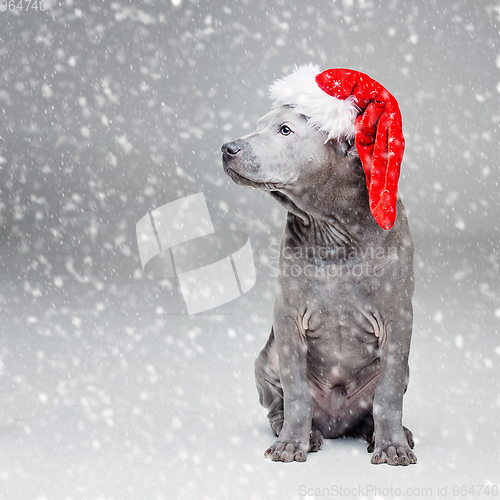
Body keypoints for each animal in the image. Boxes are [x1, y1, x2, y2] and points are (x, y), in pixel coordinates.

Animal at [221, 68, 416, 466]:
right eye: (258, 126)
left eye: (284, 130)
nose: (227, 148)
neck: (332, 231)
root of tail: (338, 423)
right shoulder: (287, 318)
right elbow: (296, 392)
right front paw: (291, 443)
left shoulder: (399, 319)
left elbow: (388, 396)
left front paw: (392, 445)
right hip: (266, 361)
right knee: (279, 404)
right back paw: (305, 432)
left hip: (402, 370)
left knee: (377, 404)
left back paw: (382, 433)